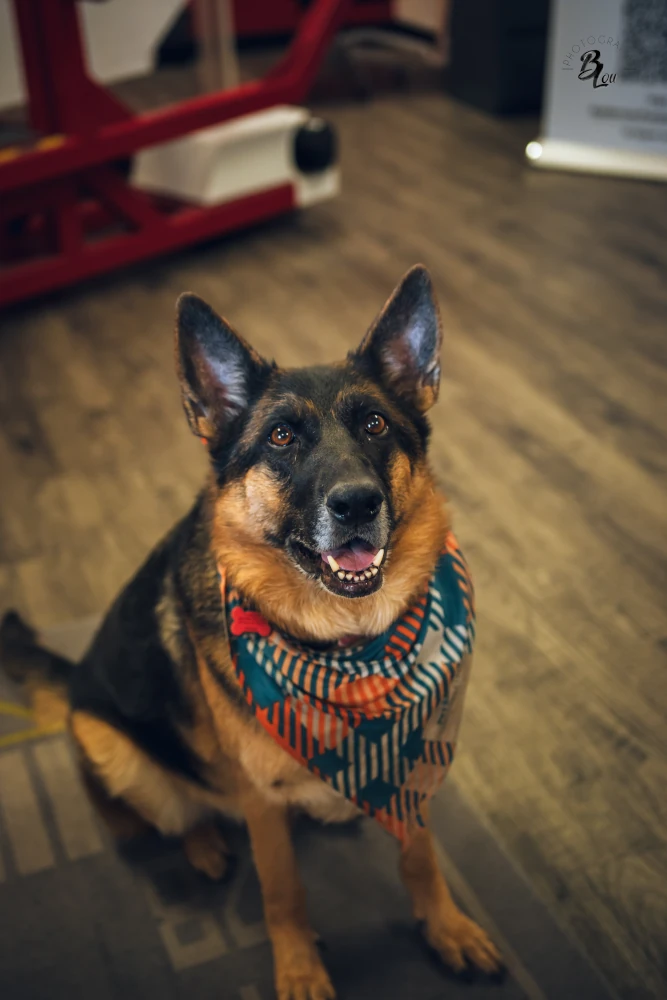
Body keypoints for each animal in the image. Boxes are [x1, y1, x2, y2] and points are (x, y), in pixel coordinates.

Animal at [0, 266, 500, 1000]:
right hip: (110, 747)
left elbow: (419, 854)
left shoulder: (409, 771)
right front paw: (298, 968)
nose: (357, 503)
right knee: (144, 807)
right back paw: (202, 842)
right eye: (281, 438)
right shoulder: (261, 804)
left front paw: (445, 926)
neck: (346, 646)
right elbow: (282, 891)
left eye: (375, 425)